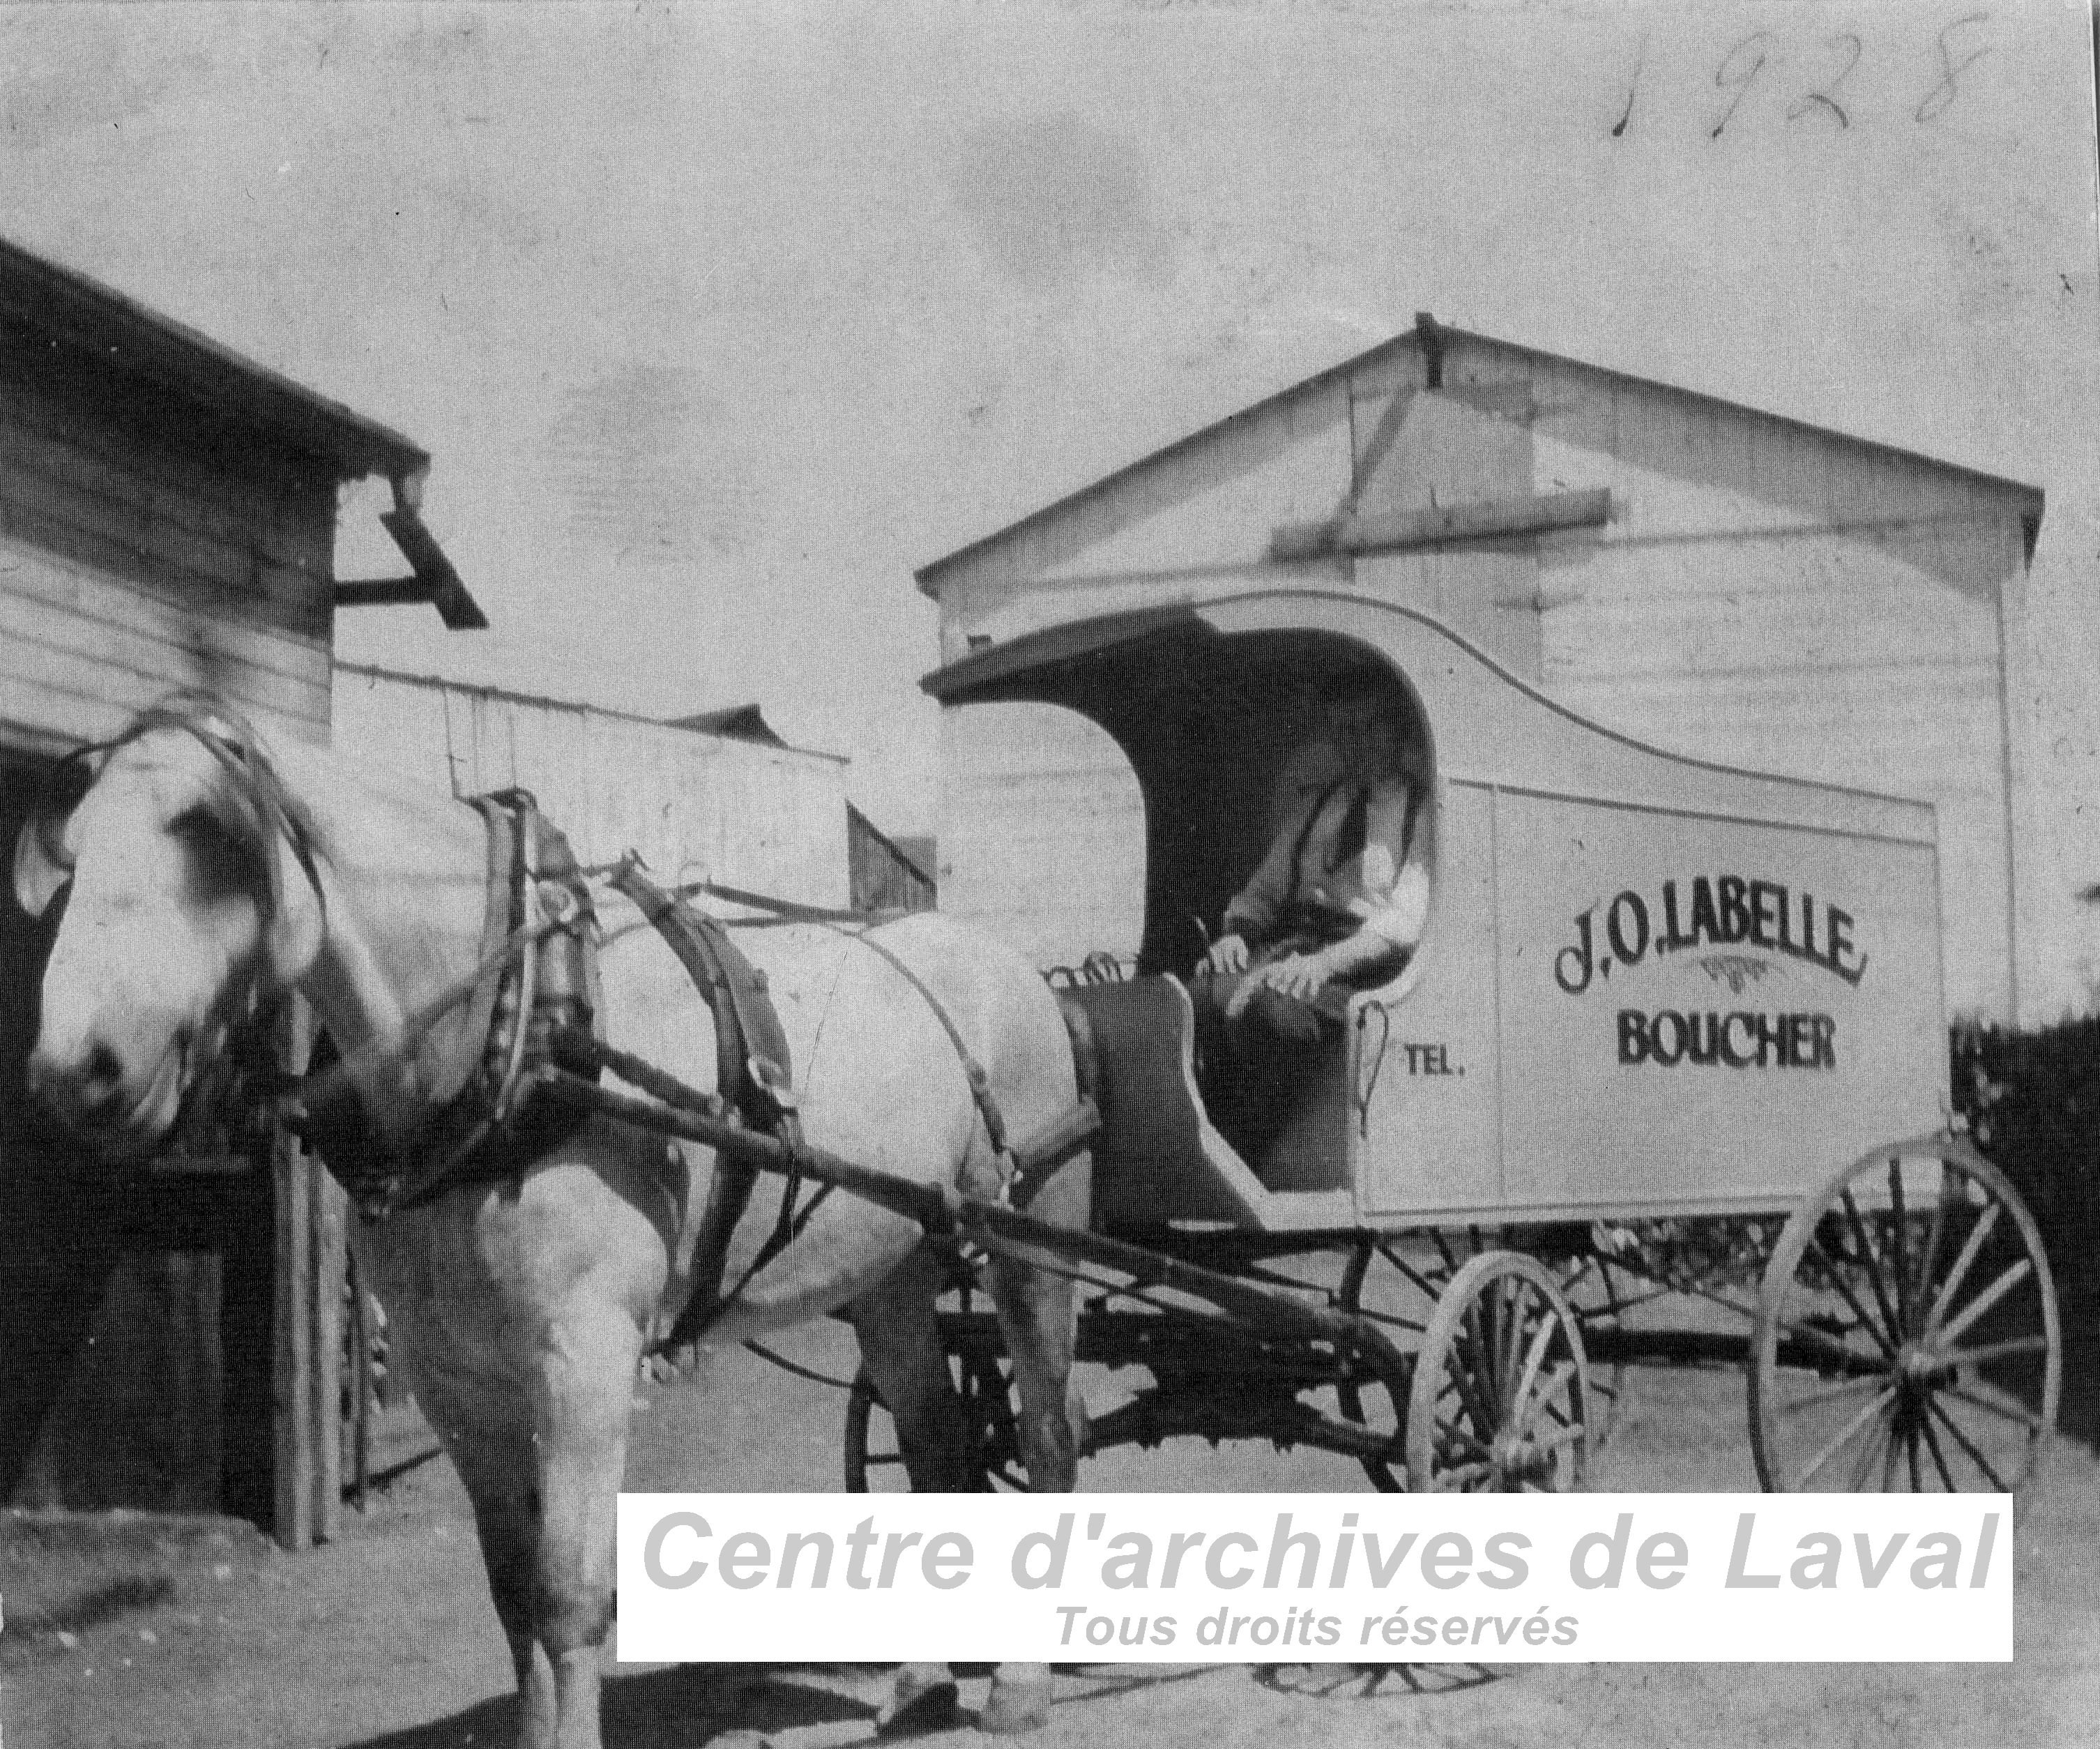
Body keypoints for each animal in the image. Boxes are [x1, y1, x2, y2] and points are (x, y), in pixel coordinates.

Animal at [16, 701, 1092, 1746]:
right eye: (74, 851)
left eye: (209, 837)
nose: (75, 1072)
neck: (514, 1033)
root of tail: (1019, 973)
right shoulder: (454, 1375)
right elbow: (514, 1598)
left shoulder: (585, 1359)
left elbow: (572, 1600)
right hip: (894, 1266)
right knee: (938, 1443)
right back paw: (921, 1679)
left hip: (1027, 1238)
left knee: (1045, 1431)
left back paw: (1021, 1681)